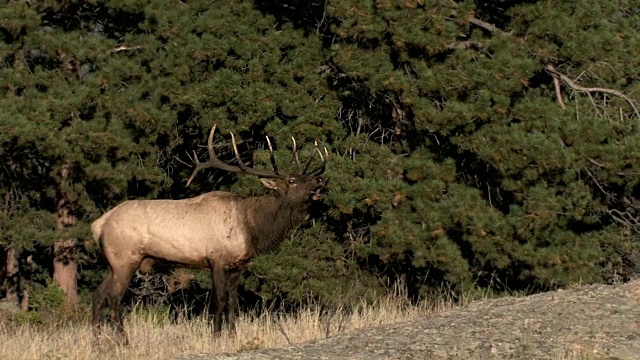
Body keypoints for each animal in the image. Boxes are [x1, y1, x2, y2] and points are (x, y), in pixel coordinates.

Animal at [92, 125, 328, 338]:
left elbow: (233, 301)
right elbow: (219, 300)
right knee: (114, 298)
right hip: (126, 258)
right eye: (292, 180)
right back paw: (123, 341)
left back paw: (97, 341)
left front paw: (232, 335)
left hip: (112, 262)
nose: (320, 180)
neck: (251, 227)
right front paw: (216, 335)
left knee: (99, 294)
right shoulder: (216, 259)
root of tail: (98, 224)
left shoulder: (237, 265)